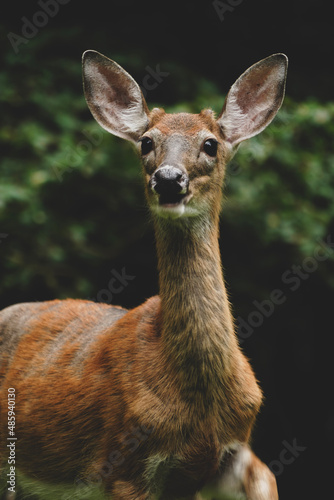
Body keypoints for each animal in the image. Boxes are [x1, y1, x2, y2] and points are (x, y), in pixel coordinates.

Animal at [0, 48, 288, 498]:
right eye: (147, 142)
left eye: (210, 144)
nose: (168, 179)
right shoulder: (124, 463)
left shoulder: (232, 450)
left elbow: (266, 476)